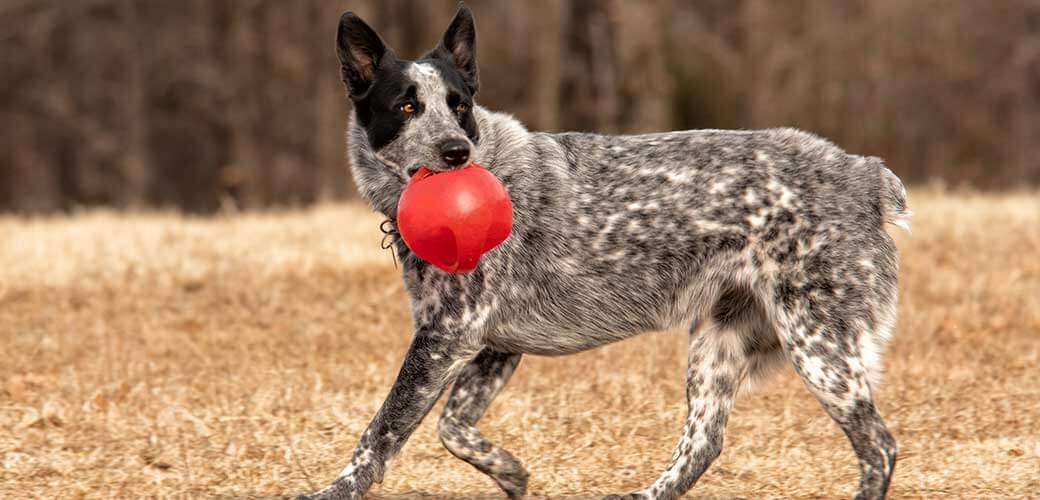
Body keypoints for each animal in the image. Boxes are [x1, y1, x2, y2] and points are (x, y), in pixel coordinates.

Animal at [299, 4, 911, 498]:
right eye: (406, 107)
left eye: (460, 105)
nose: (456, 151)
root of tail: (862, 171)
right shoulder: (489, 344)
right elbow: (452, 428)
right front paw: (511, 474)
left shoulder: (446, 337)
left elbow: (382, 430)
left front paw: (335, 492)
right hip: (720, 346)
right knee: (704, 442)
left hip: (819, 348)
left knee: (878, 447)